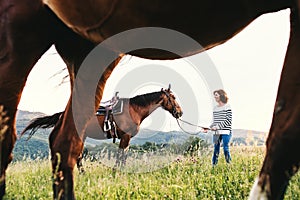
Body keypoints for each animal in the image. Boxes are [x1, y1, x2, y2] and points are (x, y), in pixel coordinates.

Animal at [21, 85, 183, 170]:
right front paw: (118, 171)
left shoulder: (126, 138)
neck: (134, 110)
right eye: (173, 97)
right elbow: (121, 155)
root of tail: (63, 115)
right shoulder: (125, 137)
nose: (180, 112)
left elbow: (123, 154)